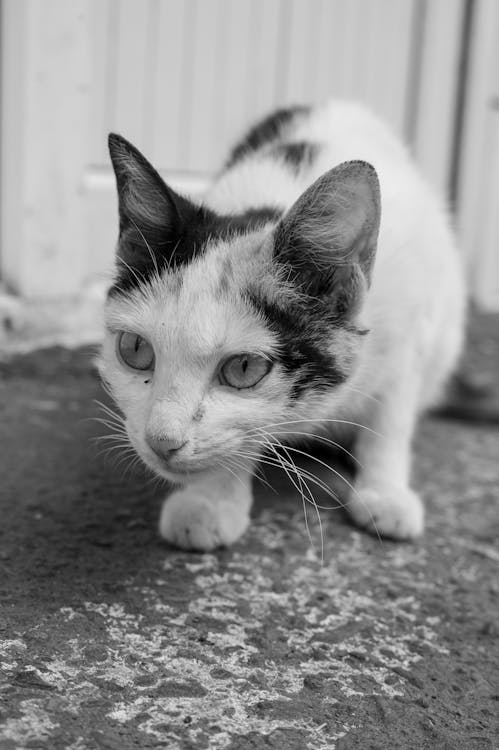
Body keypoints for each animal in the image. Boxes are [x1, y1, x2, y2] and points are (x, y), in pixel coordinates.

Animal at [99, 100, 466, 552]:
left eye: (243, 369)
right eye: (134, 349)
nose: (161, 442)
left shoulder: (412, 324)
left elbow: (392, 416)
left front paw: (385, 493)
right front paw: (210, 500)